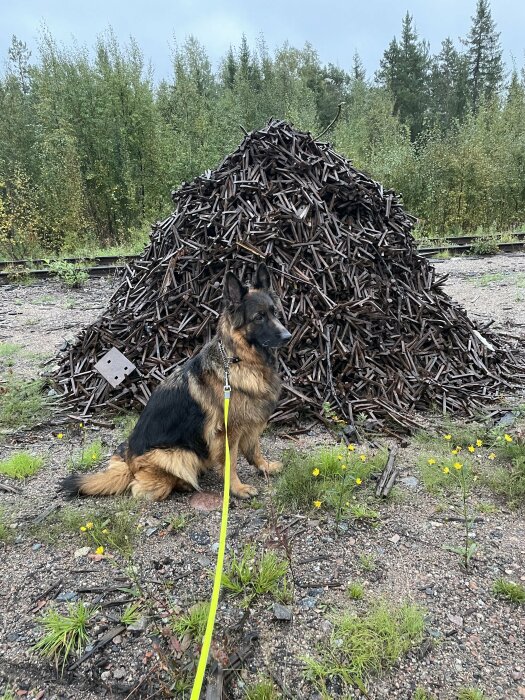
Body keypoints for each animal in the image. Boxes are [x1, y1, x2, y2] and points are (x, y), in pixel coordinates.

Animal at [62, 262, 290, 498]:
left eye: (274, 312)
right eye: (258, 317)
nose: (287, 336)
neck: (238, 359)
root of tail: (130, 464)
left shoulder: (251, 419)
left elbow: (254, 448)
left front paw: (264, 466)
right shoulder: (229, 431)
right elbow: (231, 463)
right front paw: (236, 488)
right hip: (178, 454)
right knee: (141, 485)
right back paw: (182, 483)